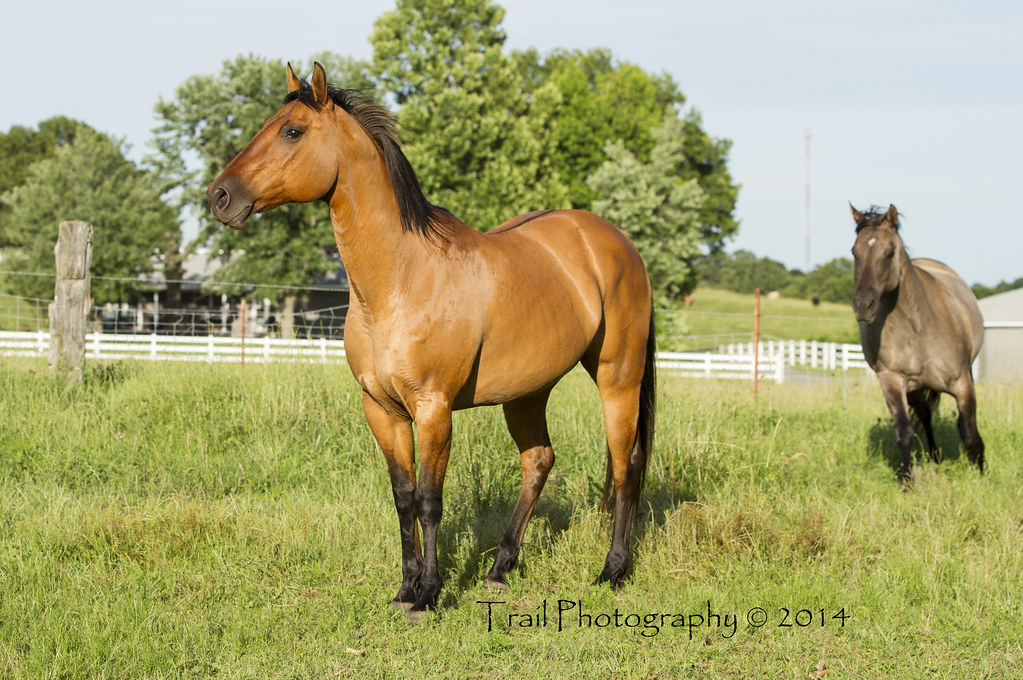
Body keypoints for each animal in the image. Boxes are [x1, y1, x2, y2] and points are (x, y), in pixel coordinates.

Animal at [207, 63, 656, 617]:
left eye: (292, 131)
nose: (219, 196)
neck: (398, 281)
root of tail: (617, 243)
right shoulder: (382, 410)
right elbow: (402, 498)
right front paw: (405, 588)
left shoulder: (433, 409)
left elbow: (429, 500)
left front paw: (429, 593)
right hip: (528, 392)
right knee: (539, 461)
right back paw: (499, 568)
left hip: (619, 377)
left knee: (625, 467)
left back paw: (612, 571)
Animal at [850, 204, 985, 484]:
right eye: (854, 251)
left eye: (890, 252)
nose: (863, 305)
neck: (917, 327)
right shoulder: (892, 381)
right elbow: (905, 433)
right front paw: (907, 482)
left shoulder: (962, 384)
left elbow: (970, 434)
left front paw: (981, 477)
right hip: (914, 389)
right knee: (925, 415)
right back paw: (934, 457)